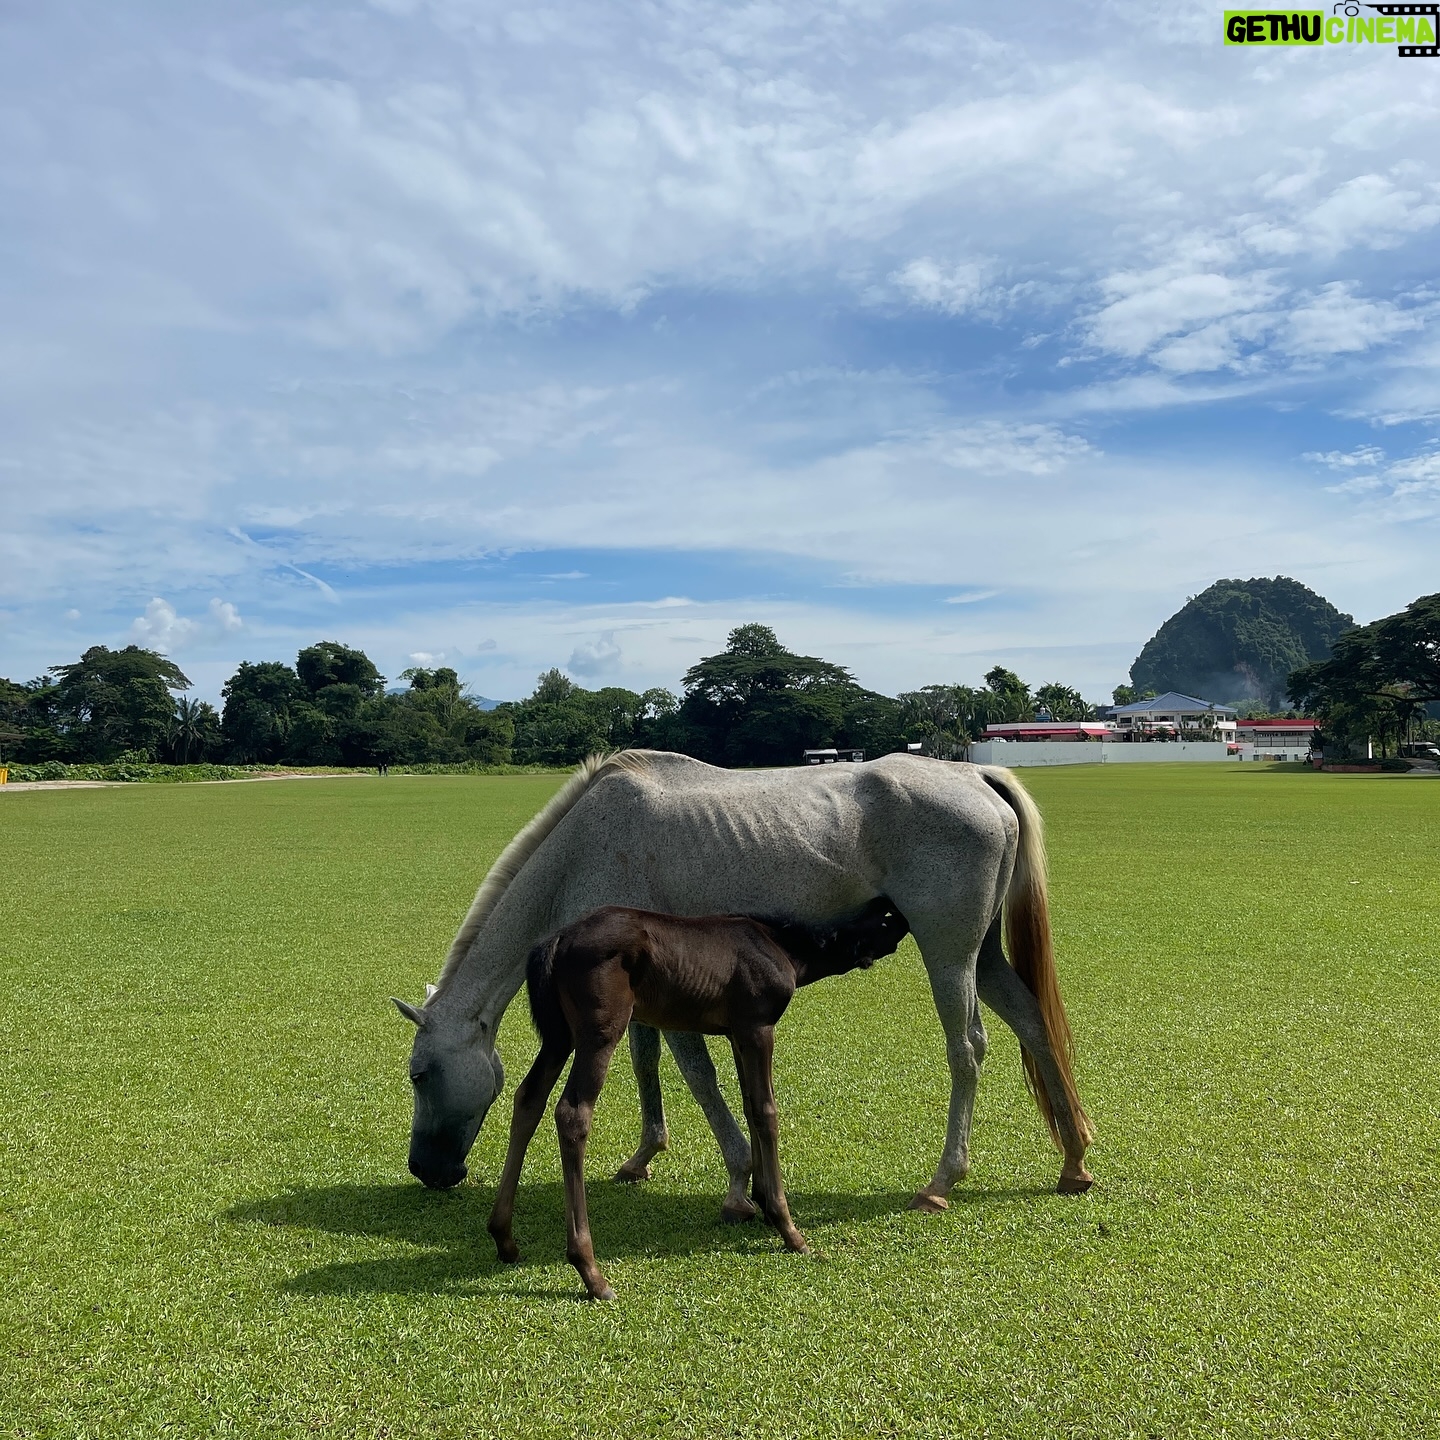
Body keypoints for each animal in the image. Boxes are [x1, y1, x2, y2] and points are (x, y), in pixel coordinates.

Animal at [393, 750, 1093, 1220]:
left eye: (420, 1075)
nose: (425, 1169)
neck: (585, 848)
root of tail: (974, 775)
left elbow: (698, 1076)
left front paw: (738, 1180)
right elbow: (647, 1062)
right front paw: (645, 1155)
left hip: (949, 953)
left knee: (967, 1050)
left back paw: (944, 1178)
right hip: (985, 954)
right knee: (1031, 1021)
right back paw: (1074, 1159)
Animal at [487, 897, 911, 1299]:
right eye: (885, 918)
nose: (906, 917)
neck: (781, 945)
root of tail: (556, 940)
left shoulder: (737, 1033)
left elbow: (749, 1105)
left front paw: (757, 1200)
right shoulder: (757, 1027)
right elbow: (766, 1111)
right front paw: (787, 1227)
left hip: (559, 1035)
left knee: (528, 1099)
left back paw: (503, 1236)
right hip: (599, 1031)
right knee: (572, 1113)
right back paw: (591, 1272)